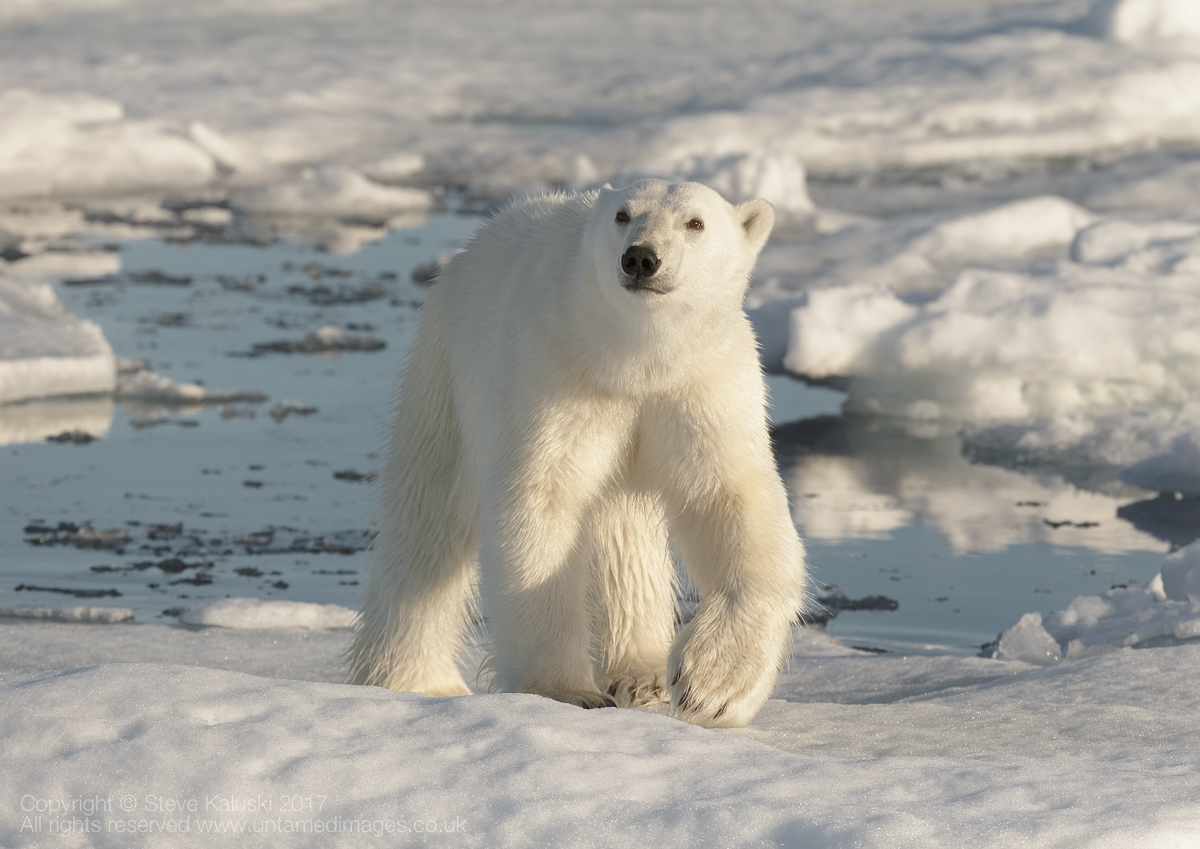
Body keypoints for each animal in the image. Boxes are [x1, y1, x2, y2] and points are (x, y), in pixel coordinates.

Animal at [347, 179, 807, 728]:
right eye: (623, 215)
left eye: (695, 223)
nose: (641, 258)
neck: (633, 359)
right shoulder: (556, 373)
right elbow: (541, 503)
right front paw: (564, 691)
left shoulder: (700, 385)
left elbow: (729, 501)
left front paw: (710, 687)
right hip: (446, 373)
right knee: (428, 522)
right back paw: (416, 680)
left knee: (622, 533)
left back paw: (642, 673)